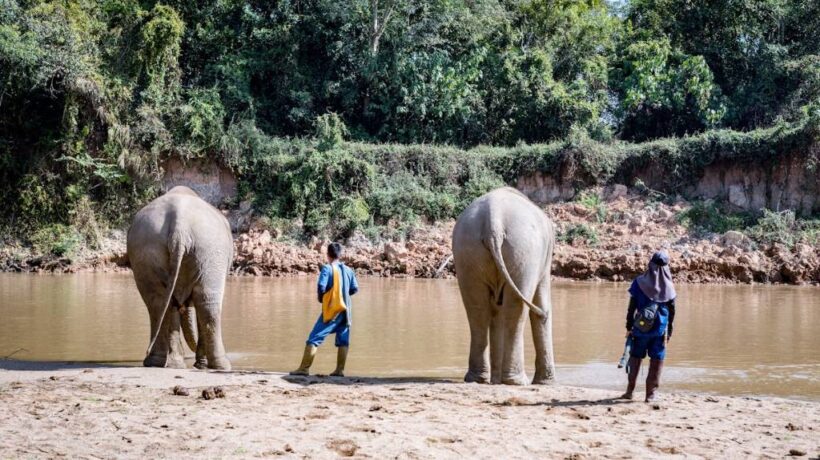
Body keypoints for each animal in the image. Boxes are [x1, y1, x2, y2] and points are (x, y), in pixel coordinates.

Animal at [127, 186, 233, 370]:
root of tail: (180, 224)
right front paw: (200, 364)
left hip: (147, 250)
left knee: (158, 302)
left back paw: (158, 363)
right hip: (211, 249)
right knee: (207, 301)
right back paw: (222, 366)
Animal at [452, 187, 556, 385]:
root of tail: (494, 220)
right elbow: (541, 306)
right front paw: (546, 383)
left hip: (467, 251)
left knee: (477, 310)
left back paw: (478, 379)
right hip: (524, 252)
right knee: (516, 311)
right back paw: (518, 381)